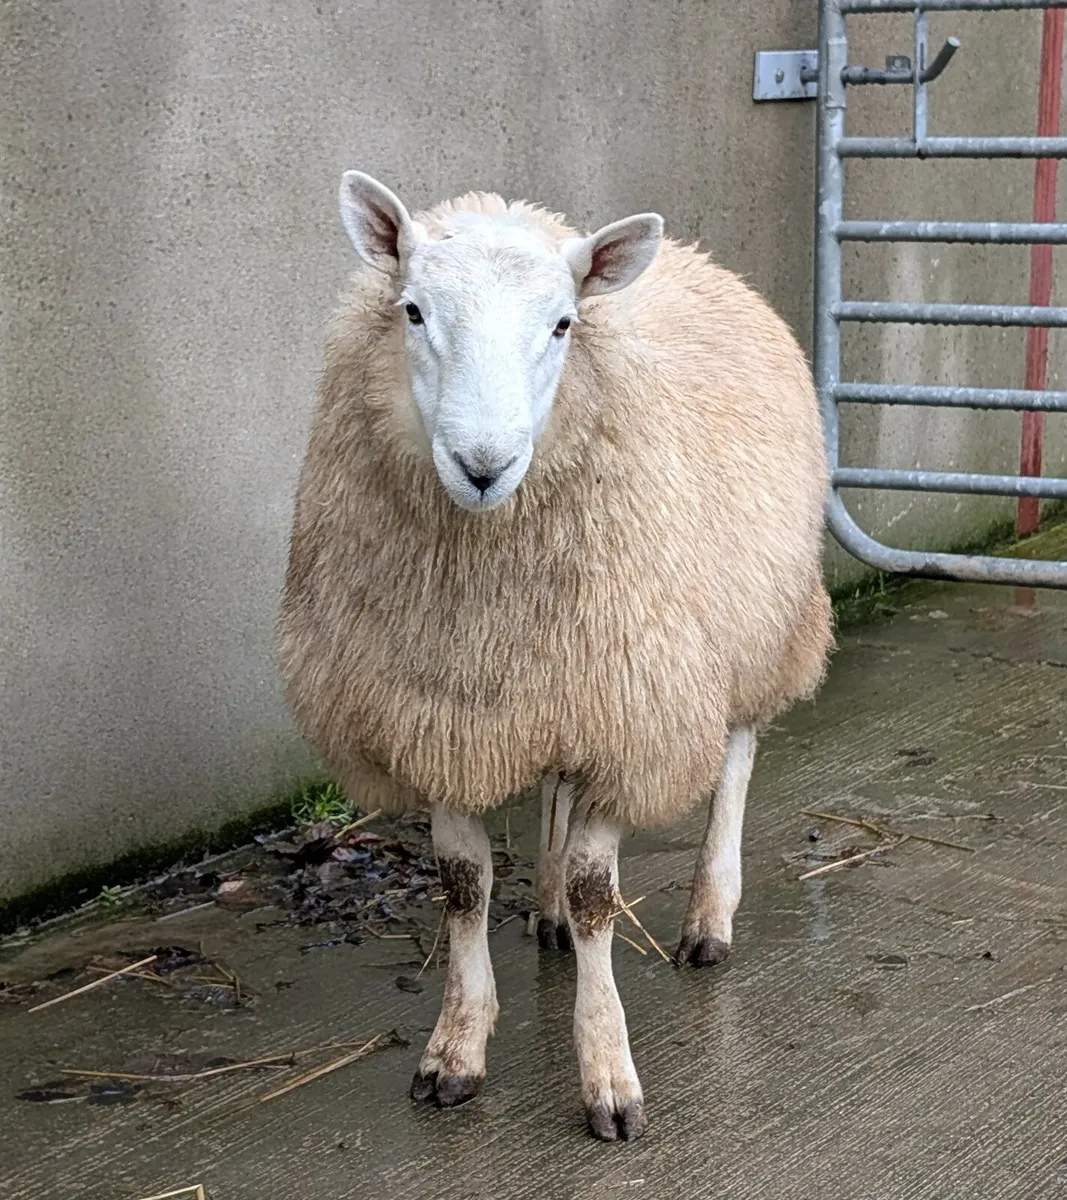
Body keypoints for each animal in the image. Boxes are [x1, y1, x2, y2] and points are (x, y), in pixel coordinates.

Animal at [278, 170, 833, 1143]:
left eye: (563, 325)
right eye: (412, 310)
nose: (482, 465)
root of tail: (698, 259)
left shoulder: (624, 712)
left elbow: (595, 891)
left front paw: (607, 1073)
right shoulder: (444, 714)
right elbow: (463, 885)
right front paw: (455, 1050)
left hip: (750, 626)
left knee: (733, 756)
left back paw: (708, 917)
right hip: (556, 678)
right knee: (554, 797)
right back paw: (543, 919)